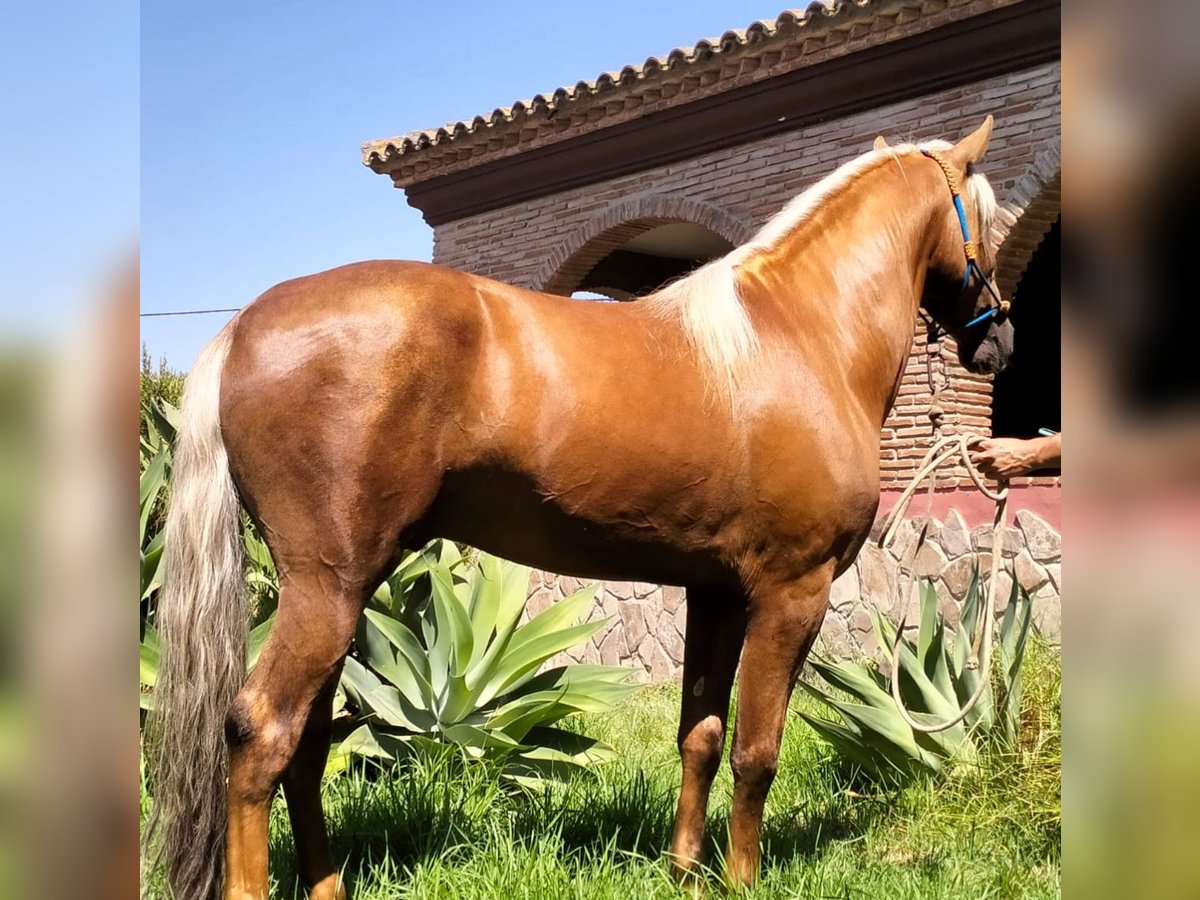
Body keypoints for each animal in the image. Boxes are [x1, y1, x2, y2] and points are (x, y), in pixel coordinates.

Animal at [145, 116, 1017, 897]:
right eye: (990, 219)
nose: (1000, 341)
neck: (795, 338)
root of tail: (245, 327)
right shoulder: (790, 594)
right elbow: (756, 752)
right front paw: (740, 880)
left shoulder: (716, 594)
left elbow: (701, 736)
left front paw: (685, 876)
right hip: (327, 588)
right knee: (263, 730)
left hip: (340, 590)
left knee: (307, 742)